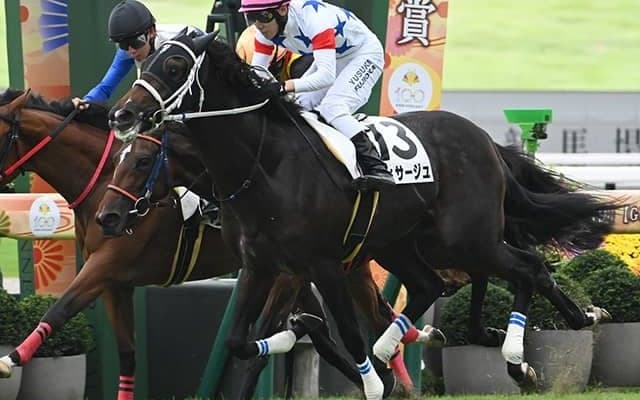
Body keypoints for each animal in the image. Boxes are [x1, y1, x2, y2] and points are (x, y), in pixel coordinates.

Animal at [0, 88, 423, 399]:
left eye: (1, 136)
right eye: (122, 160)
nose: (111, 219)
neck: (102, 183)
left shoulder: (105, 267)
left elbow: (60, 309)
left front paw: (10, 360)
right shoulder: (115, 285)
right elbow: (128, 356)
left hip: (293, 275)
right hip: (324, 271)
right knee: (345, 327)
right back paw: (390, 377)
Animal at [106, 32, 619, 397]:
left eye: (174, 66)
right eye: (145, 61)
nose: (122, 114)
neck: (265, 166)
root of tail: (485, 140)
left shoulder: (323, 265)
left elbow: (349, 337)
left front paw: (374, 382)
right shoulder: (259, 266)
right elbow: (239, 340)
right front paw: (304, 336)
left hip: (465, 237)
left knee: (526, 267)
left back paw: (525, 355)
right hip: (406, 242)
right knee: (436, 284)